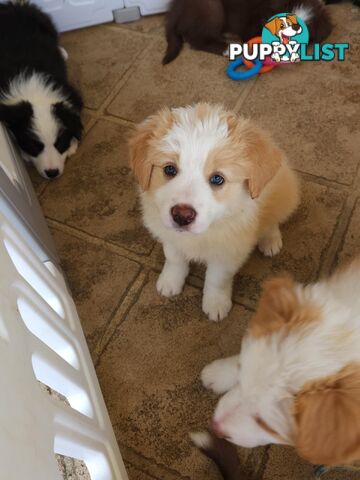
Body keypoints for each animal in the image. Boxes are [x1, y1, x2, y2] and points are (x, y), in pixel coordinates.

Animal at [0, 0, 82, 178]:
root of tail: (12, 5)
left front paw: (72, 144)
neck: (34, 89)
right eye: (33, 146)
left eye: (60, 143)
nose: (52, 173)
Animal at [128, 105, 300, 322]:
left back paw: (270, 240)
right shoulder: (168, 234)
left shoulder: (227, 253)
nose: (181, 216)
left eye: (217, 179)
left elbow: (216, 279)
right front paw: (170, 281)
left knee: (272, 219)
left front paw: (216, 304)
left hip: (286, 193)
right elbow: (174, 258)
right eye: (169, 169)